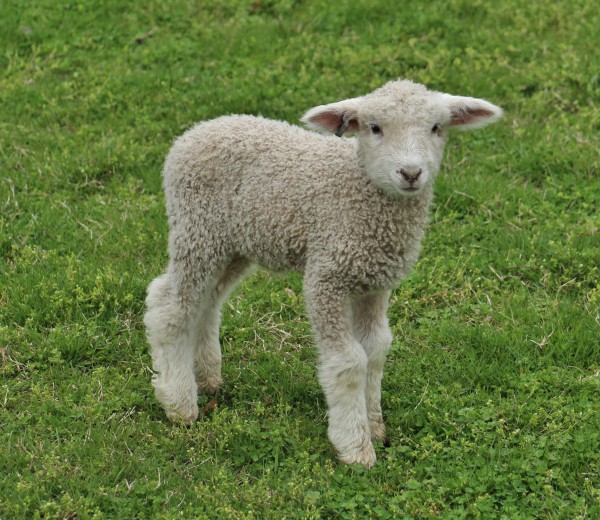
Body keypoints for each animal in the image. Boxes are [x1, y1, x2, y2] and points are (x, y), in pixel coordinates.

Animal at [144, 77, 502, 468]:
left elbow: (375, 350)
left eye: (436, 128)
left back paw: (207, 377)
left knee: (207, 301)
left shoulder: (374, 283)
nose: (410, 174)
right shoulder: (326, 276)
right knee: (170, 305)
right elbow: (349, 361)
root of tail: (196, 131)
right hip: (196, 227)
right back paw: (179, 401)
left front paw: (375, 425)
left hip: (234, 243)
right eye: (374, 128)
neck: (360, 192)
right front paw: (355, 447)